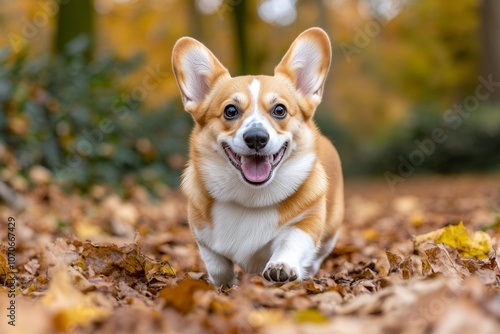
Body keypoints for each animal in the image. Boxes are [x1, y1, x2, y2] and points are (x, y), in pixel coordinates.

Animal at [172, 27, 344, 288]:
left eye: (280, 110)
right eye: (230, 111)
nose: (255, 138)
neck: (250, 199)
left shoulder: (307, 221)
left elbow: (291, 241)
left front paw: (281, 267)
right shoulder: (201, 234)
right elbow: (217, 264)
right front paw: (223, 285)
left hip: (331, 231)